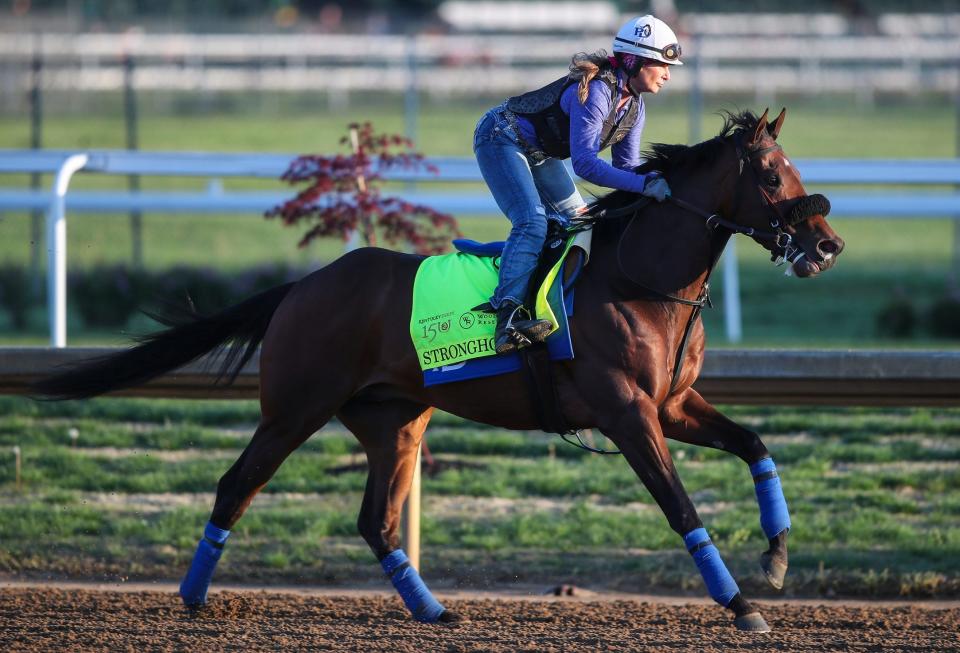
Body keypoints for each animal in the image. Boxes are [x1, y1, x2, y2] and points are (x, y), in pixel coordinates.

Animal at [33, 108, 844, 632]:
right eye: (769, 173)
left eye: (791, 167)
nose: (827, 243)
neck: (638, 277)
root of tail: (302, 285)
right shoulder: (626, 413)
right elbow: (680, 506)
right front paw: (742, 605)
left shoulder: (673, 404)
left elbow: (755, 445)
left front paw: (775, 557)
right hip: (293, 409)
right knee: (237, 486)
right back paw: (195, 598)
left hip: (395, 420)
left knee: (376, 519)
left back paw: (431, 608)